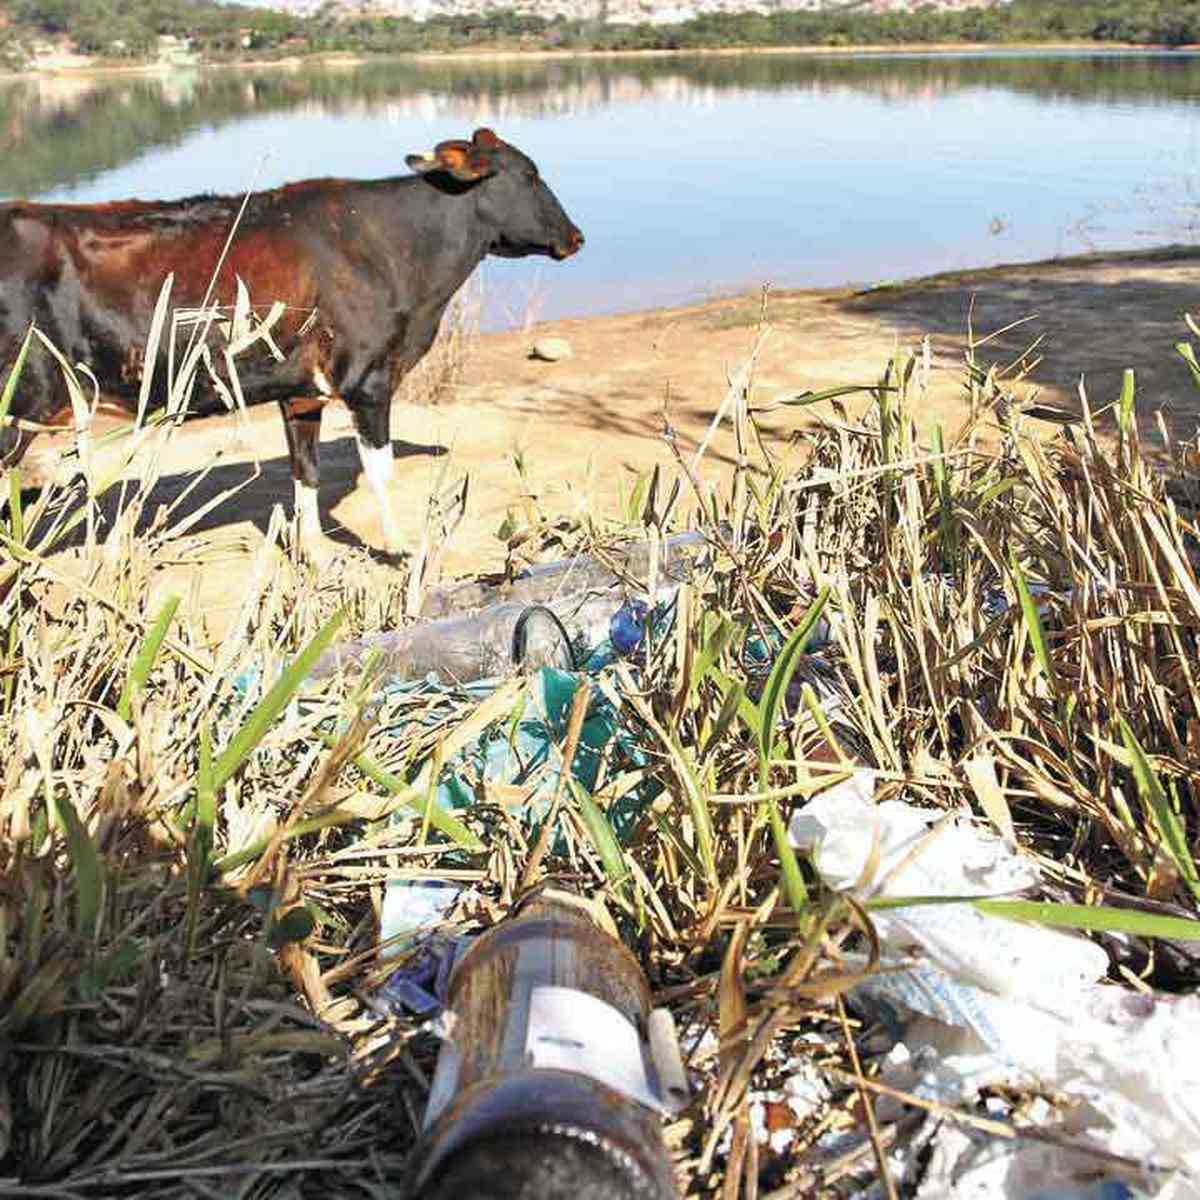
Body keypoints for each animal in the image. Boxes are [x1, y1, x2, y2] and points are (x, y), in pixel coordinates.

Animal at [0, 129, 585, 559]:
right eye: (530, 175)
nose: (576, 236)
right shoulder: (369, 380)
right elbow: (381, 470)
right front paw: (400, 548)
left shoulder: (302, 390)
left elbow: (306, 471)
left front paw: (313, 553)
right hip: (18, 413)